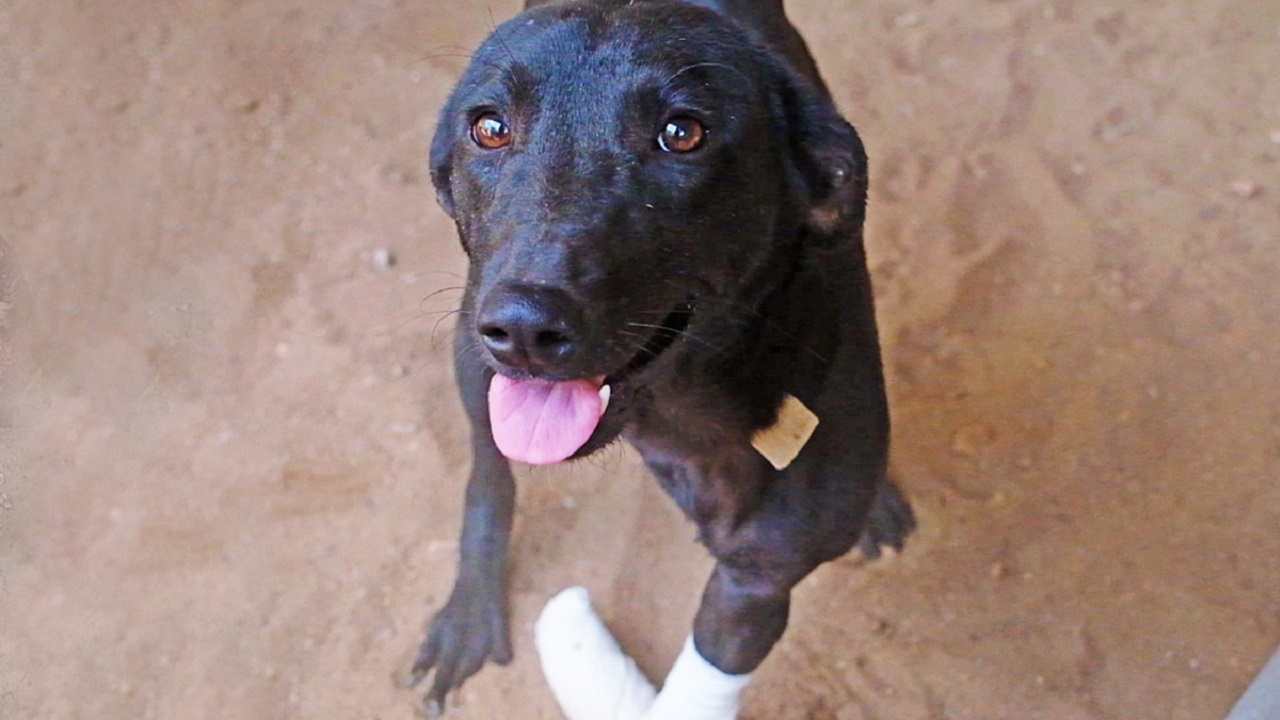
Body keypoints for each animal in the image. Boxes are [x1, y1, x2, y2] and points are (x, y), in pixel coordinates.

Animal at [404, 0, 916, 707]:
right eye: (489, 128)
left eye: (682, 132)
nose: (525, 326)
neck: (678, 403)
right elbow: (489, 476)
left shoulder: (757, 583)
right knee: (489, 471)